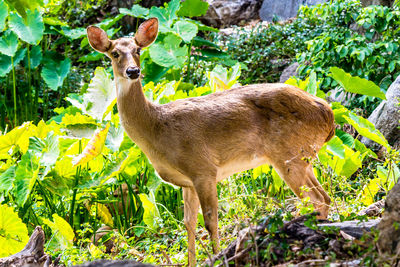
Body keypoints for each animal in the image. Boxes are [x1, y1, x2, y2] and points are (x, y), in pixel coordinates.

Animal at [86, 17, 334, 266]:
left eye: (138, 50)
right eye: (115, 53)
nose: (133, 71)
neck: (156, 128)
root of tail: (328, 114)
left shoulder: (203, 168)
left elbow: (210, 221)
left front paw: (217, 257)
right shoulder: (186, 182)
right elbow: (189, 223)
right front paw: (191, 262)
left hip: (288, 154)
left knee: (315, 199)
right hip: (302, 156)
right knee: (324, 197)